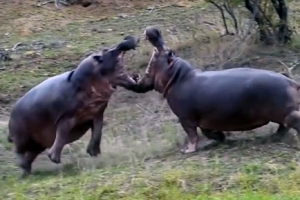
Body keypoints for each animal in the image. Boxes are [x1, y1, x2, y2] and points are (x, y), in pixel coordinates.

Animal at [8, 35, 139, 177]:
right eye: (106, 50)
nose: (127, 37)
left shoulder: (97, 114)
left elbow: (97, 133)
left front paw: (95, 153)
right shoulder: (67, 118)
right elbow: (61, 135)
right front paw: (54, 158)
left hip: (37, 143)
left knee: (29, 156)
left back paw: (27, 172)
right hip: (23, 138)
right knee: (19, 151)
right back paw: (25, 169)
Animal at [126, 27, 300, 153]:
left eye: (168, 51)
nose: (155, 31)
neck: (176, 75)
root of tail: (291, 82)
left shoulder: (186, 119)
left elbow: (192, 135)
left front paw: (187, 151)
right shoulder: (204, 118)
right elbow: (207, 132)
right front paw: (221, 138)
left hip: (285, 112)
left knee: (291, 121)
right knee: (283, 127)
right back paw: (273, 137)